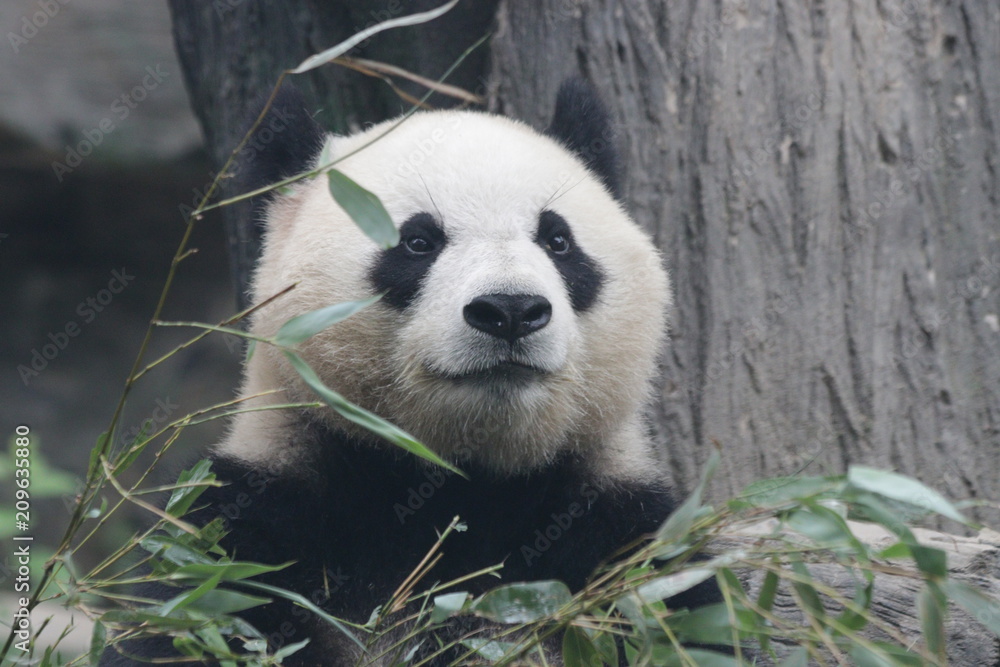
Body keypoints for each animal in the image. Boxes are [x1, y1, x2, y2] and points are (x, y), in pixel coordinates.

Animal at [102, 79, 720, 666]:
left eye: (558, 240)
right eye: (418, 241)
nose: (511, 311)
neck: (460, 483)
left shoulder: (626, 541)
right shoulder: (249, 531)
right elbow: (193, 621)